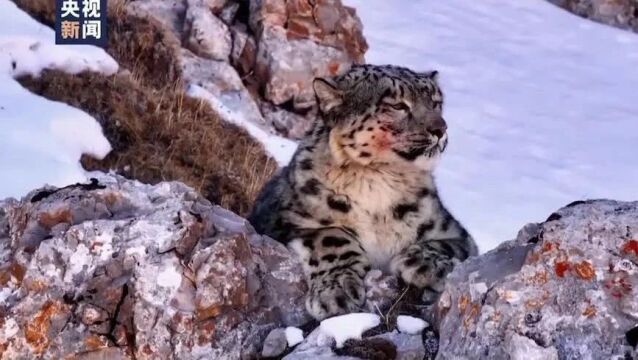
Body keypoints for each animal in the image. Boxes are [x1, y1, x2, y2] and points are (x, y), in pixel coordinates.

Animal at [250, 64, 480, 320]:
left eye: (435, 102)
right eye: (398, 106)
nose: (440, 129)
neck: (379, 184)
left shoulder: (455, 232)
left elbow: (445, 244)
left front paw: (427, 263)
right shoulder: (287, 221)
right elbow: (331, 237)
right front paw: (337, 291)